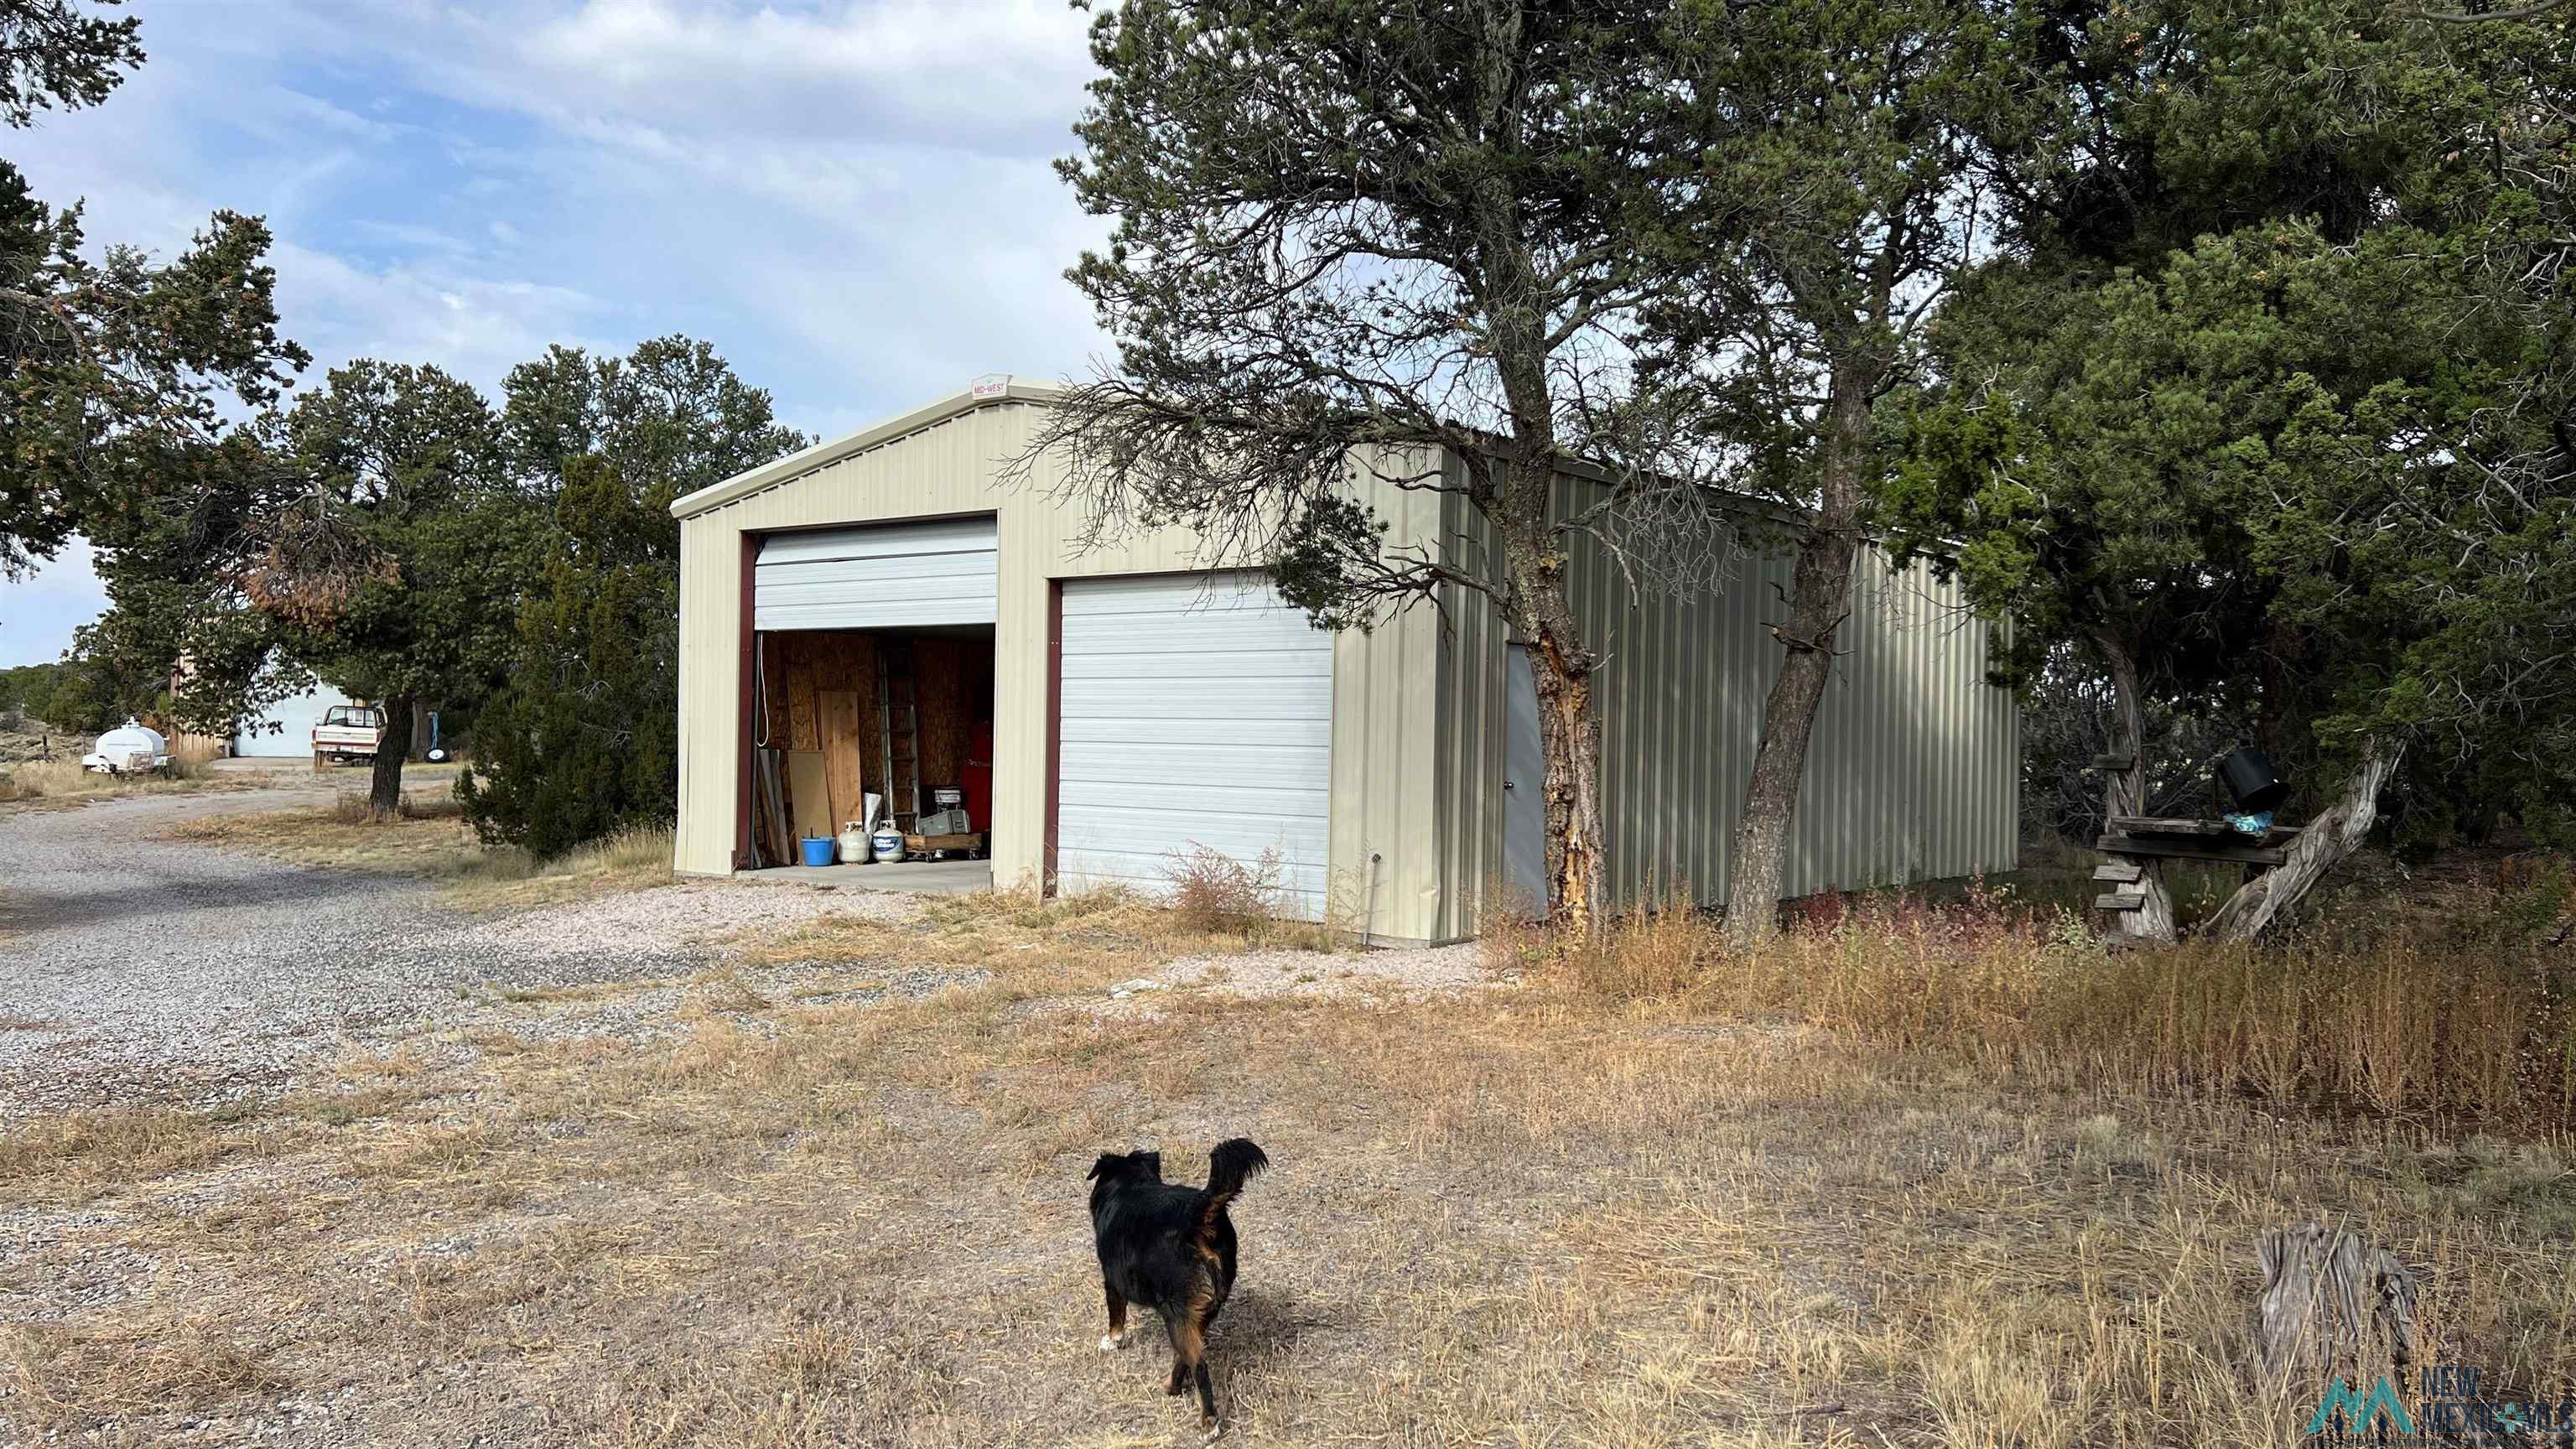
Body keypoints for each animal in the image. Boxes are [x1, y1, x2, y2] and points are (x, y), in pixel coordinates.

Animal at [1087, 1140, 1267, 1433]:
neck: (1130, 1183)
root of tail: (1200, 1213)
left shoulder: (1112, 1282)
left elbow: (1116, 1317)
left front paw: (1112, 1341)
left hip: (1176, 1310)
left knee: (1200, 1368)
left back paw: (1209, 1421)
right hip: (1200, 1309)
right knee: (1185, 1356)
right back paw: (1172, 1387)